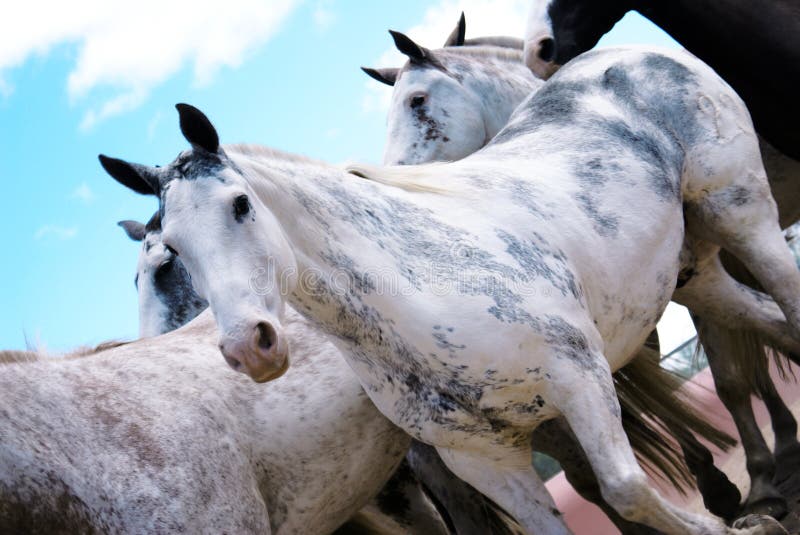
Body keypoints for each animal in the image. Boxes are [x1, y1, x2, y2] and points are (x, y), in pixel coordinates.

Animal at [101, 45, 800, 532]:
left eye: (241, 205)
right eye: (176, 248)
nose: (251, 347)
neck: (416, 285)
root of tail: (626, 55)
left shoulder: (580, 377)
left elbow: (627, 489)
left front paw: (740, 525)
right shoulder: (481, 456)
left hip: (745, 219)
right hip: (700, 277)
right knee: (773, 324)